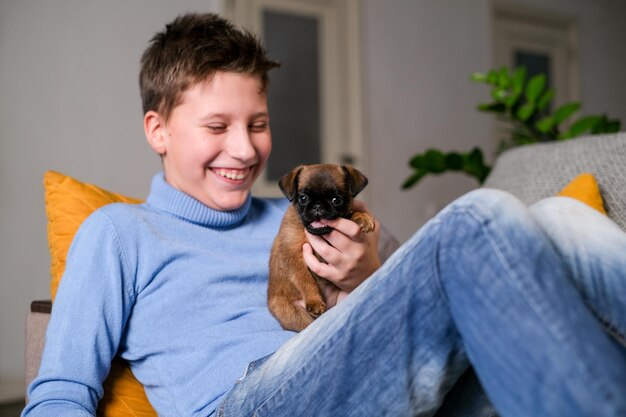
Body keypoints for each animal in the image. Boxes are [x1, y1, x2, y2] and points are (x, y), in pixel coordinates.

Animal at [266, 162, 372, 332]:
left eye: (336, 200)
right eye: (303, 198)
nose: (317, 205)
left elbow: (349, 214)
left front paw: (362, 217)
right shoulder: (295, 257)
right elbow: (306, 280)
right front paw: (315, 301)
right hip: (291, 312)